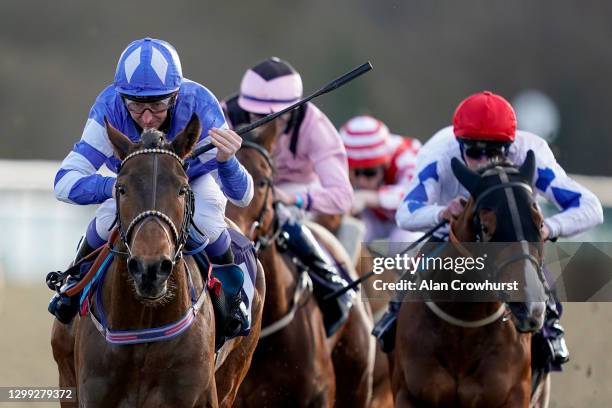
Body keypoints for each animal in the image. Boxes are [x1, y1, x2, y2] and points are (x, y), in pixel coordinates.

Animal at [49, 115, 264, 408]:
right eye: (121, 188)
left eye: (182, 189)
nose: (150, 270)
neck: (144, 326)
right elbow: (70, 172)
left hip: (235, 371)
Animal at [390, 153, 552, 408]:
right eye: (485, 227)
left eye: (541, 223)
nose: (529, 307)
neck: (464, 326)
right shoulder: (408, 394)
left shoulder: (514, 395)